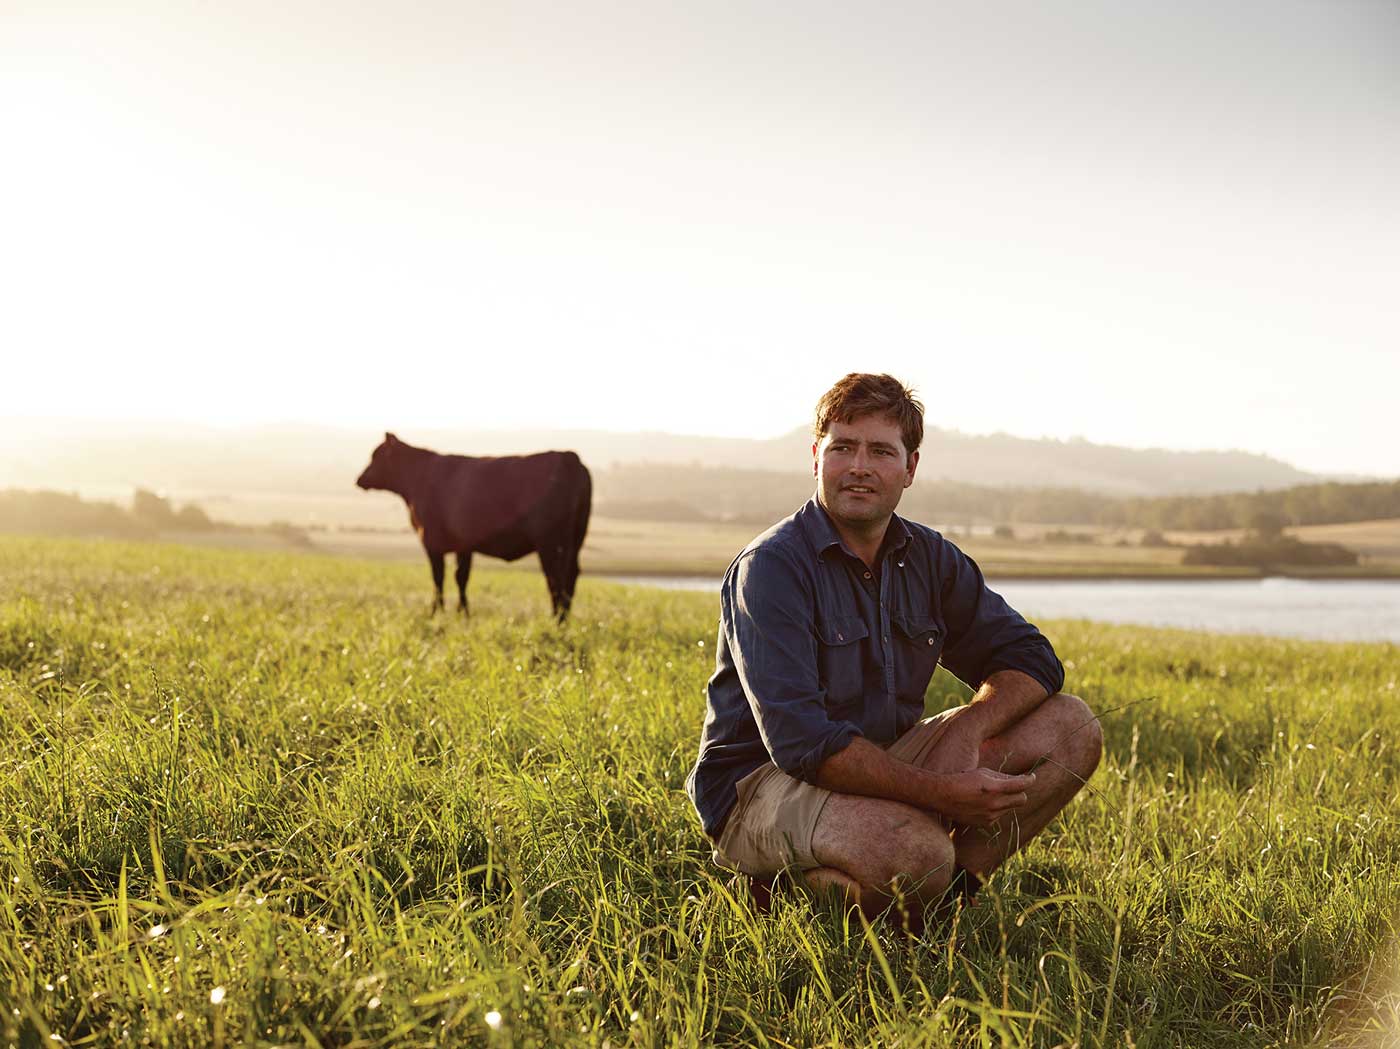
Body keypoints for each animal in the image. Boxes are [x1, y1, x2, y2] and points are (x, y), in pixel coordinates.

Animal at [355, 434, 590, 621]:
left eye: (376, 456)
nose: (360, 479)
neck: (419, 479)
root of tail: (567, 456)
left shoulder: (431, 541)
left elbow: (438, 578)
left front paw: (436, 612)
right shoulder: (464, 545)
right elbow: (461, 577)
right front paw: (463, 613)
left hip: (549, 541)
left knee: (555, 577)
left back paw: (556, 618)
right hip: (575, 539)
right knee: (570, 575)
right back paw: (563, 619)